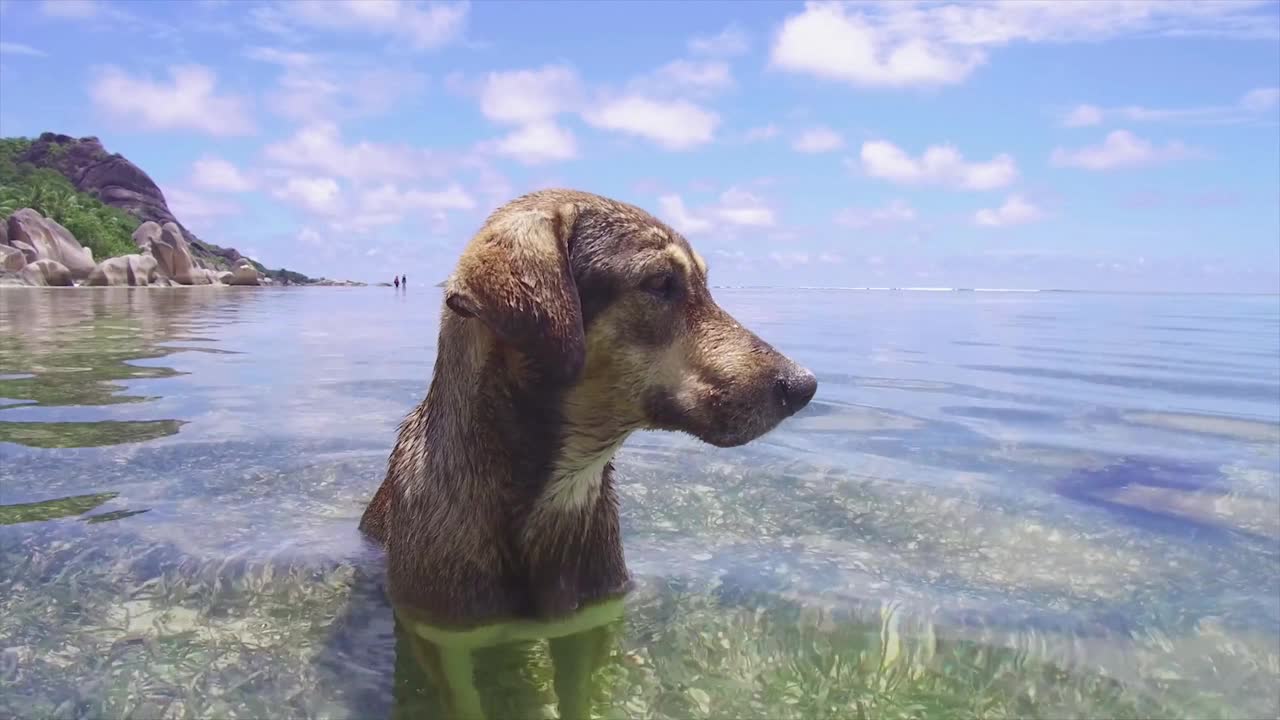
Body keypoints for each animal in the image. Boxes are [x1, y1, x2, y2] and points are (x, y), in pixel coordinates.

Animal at [358, 185, 819, 712]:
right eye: (661, 283)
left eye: (704, 283)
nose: (804, 386)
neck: (560, 492)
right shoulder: (443, 641)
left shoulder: (583, 628)